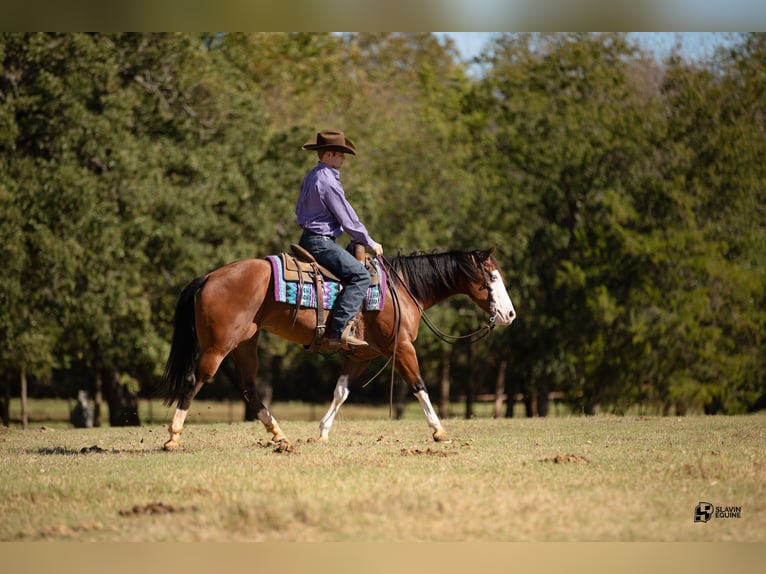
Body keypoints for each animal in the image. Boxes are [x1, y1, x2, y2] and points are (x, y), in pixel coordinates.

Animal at [156, 245, 516, 452]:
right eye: (492, 277)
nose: (510, 315)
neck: (403, 288)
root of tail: (208, 277)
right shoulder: (402, 347)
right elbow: (418, 386)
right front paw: (439, 431)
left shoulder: (361, 354)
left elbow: (340, 391)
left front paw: (322, 431)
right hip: (218, 346)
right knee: (195, 380)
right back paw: (173, 436)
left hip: (246, 342)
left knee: (248, 387)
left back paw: (279, 434)